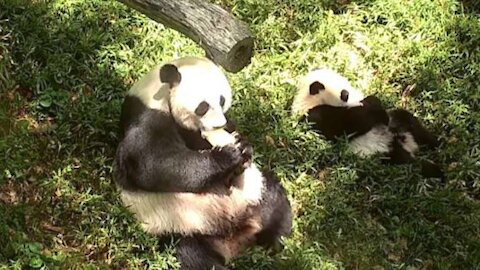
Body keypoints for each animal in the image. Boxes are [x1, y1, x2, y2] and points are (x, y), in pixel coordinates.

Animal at [115, 56, 292, 268]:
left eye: (222, 100)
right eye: (203, 106)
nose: (218, 124)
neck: (159, 90)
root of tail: (234, 236)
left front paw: (243, 147)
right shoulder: (147, 118)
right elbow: (154, 163)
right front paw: (227, 155)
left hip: (252, 194)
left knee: (274, 199)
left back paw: (274, 242)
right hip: (178, 224)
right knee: (192, 255)